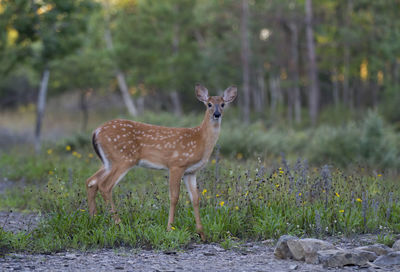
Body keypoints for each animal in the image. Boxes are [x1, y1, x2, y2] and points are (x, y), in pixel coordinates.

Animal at [86, 83, 236, 240]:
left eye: (223, 104)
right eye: (209, 104)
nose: (217, 114)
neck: (200, 139)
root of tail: (96, 131)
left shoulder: (191, 172)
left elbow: (195, 198)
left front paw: (201, 233)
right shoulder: (176, 164)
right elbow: (174, 197)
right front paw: (170, 228)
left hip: (109, 161)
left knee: (91, 181)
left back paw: (93, 218)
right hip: (123, 159)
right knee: (105, 185)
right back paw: (118, 223)